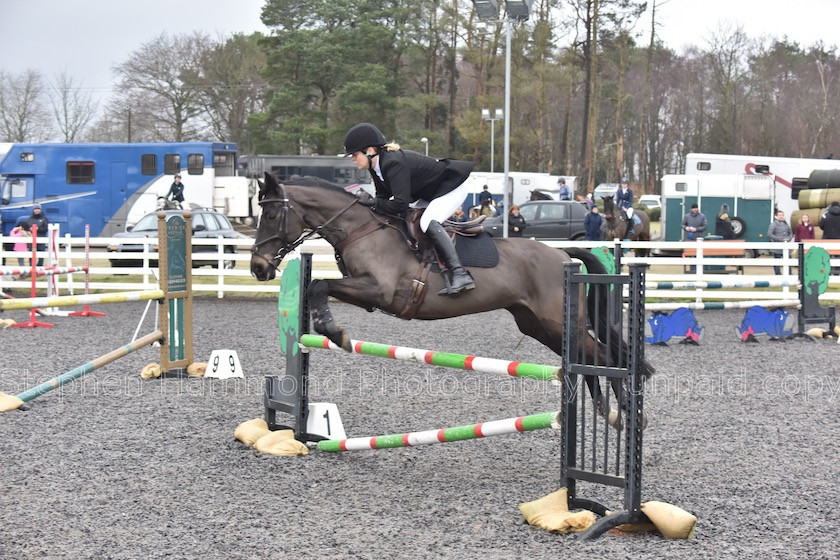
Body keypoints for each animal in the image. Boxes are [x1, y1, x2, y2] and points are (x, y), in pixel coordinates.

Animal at [249, 173, 648, 426]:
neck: (361, 228)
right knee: (587, 358)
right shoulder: (366, 292)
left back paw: (628, 414)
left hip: (557, 322)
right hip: (539, 326)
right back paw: (611, 413)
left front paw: (335, 332)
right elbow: (317, 286)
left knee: (602, 357)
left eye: (272, 214)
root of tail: (564, 256)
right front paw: (327, 328)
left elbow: (318, 286)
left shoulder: (379, 290)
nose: (258, 268)